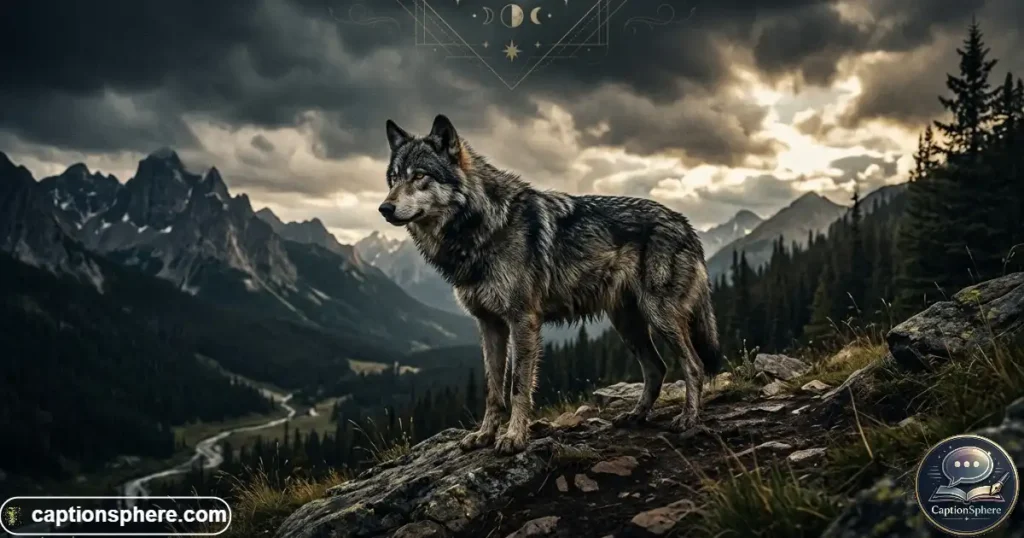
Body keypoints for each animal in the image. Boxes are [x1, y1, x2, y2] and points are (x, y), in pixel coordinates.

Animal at [379, 115, 723, 455]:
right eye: (393, 179)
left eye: (419, 176)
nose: (384, 208)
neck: (482, 226)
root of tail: (686, 225)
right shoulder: (489, 325)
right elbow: (493, 390)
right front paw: (484, 436)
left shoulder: (522, 321)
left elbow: (517, 387)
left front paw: (514, 438)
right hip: (628, 325)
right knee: (657, 368)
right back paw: (635, 416)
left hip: (659, 316)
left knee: (693, 365)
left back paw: (687, 418)